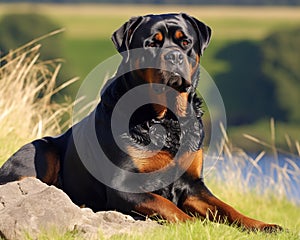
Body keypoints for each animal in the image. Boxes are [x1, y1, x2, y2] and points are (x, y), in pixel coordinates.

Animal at [0, 13, 282, 232]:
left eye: (185, 42)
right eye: (151, 44)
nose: (174, 57)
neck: (166, 118)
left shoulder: (193, 185)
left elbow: (227, 208)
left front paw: (263, 225)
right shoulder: (124, 185)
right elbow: (167, 206)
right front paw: (196, 226)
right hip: (41, 149)